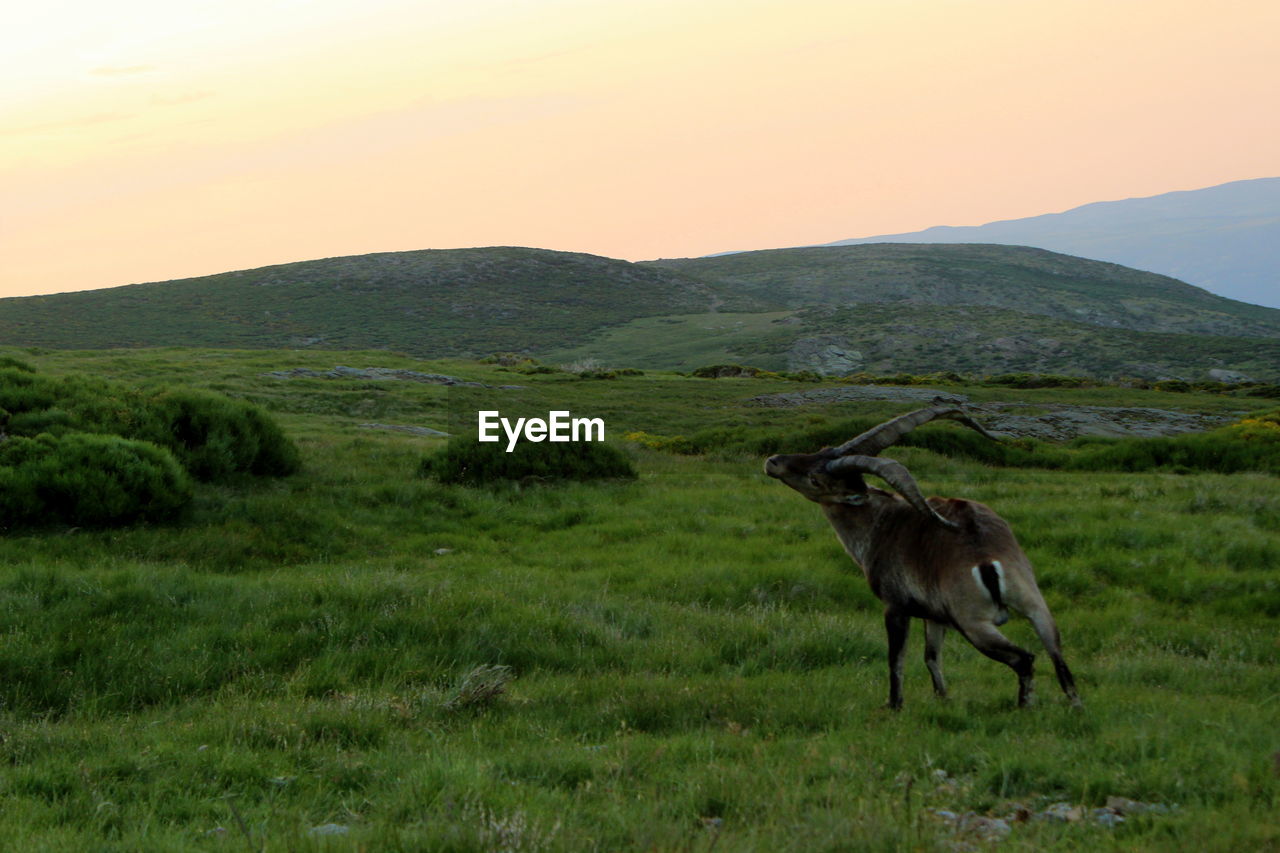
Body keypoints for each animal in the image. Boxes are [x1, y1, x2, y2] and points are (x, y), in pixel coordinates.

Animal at [768, 404, 1080, 701]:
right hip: (1035, 604)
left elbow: (896, 661)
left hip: (973, 623)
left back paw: (1025, 705)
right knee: (1060, 662)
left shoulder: (896, 606)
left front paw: (894, 705)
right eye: (820, 450)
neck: (878, 522)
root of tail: (988, 561)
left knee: (1024, 659)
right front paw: (943, 698)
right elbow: (931, 657)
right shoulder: (935, 615)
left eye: (816, 479)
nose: (773, 462)